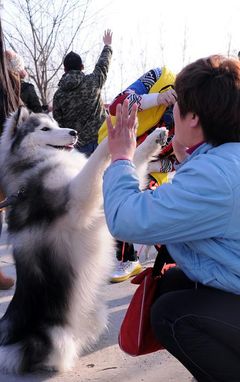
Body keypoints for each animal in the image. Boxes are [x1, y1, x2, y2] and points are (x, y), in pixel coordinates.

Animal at [0, 106, 167, 374]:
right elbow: (97, 160)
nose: (73, 132)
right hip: (54, 337)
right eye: (44, 129)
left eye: (57, 124)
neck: (35, 163)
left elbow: (127, 162)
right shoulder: (77, 201)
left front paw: (153, 138)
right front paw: (117, 133)